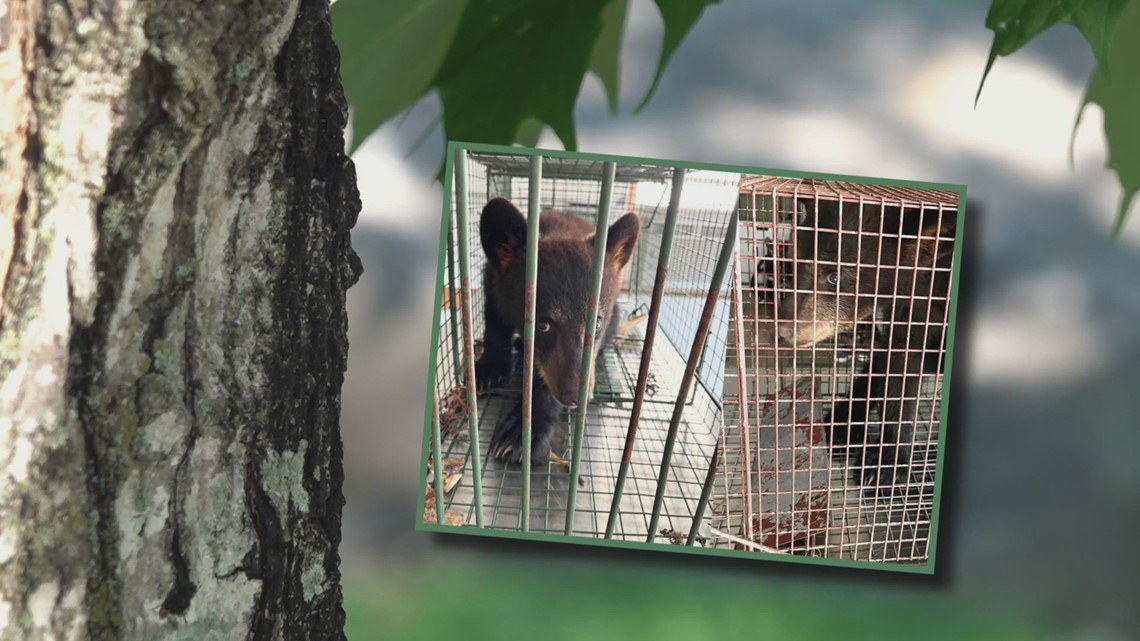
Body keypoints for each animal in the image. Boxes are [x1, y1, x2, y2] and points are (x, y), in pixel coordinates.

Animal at [474, 197, 640, 465]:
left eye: (596, 322)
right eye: (542, 324)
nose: (575, 397)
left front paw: (520, 433)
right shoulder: (493, 281)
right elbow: (495, 321)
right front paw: (489, 369)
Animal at [773, 196, 959, 491]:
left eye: (834, 276)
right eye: (794, 263)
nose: (781, 332)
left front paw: (885, 463)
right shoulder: (914, 298)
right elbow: (900, 358)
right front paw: (884, 460)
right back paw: (842, 422)